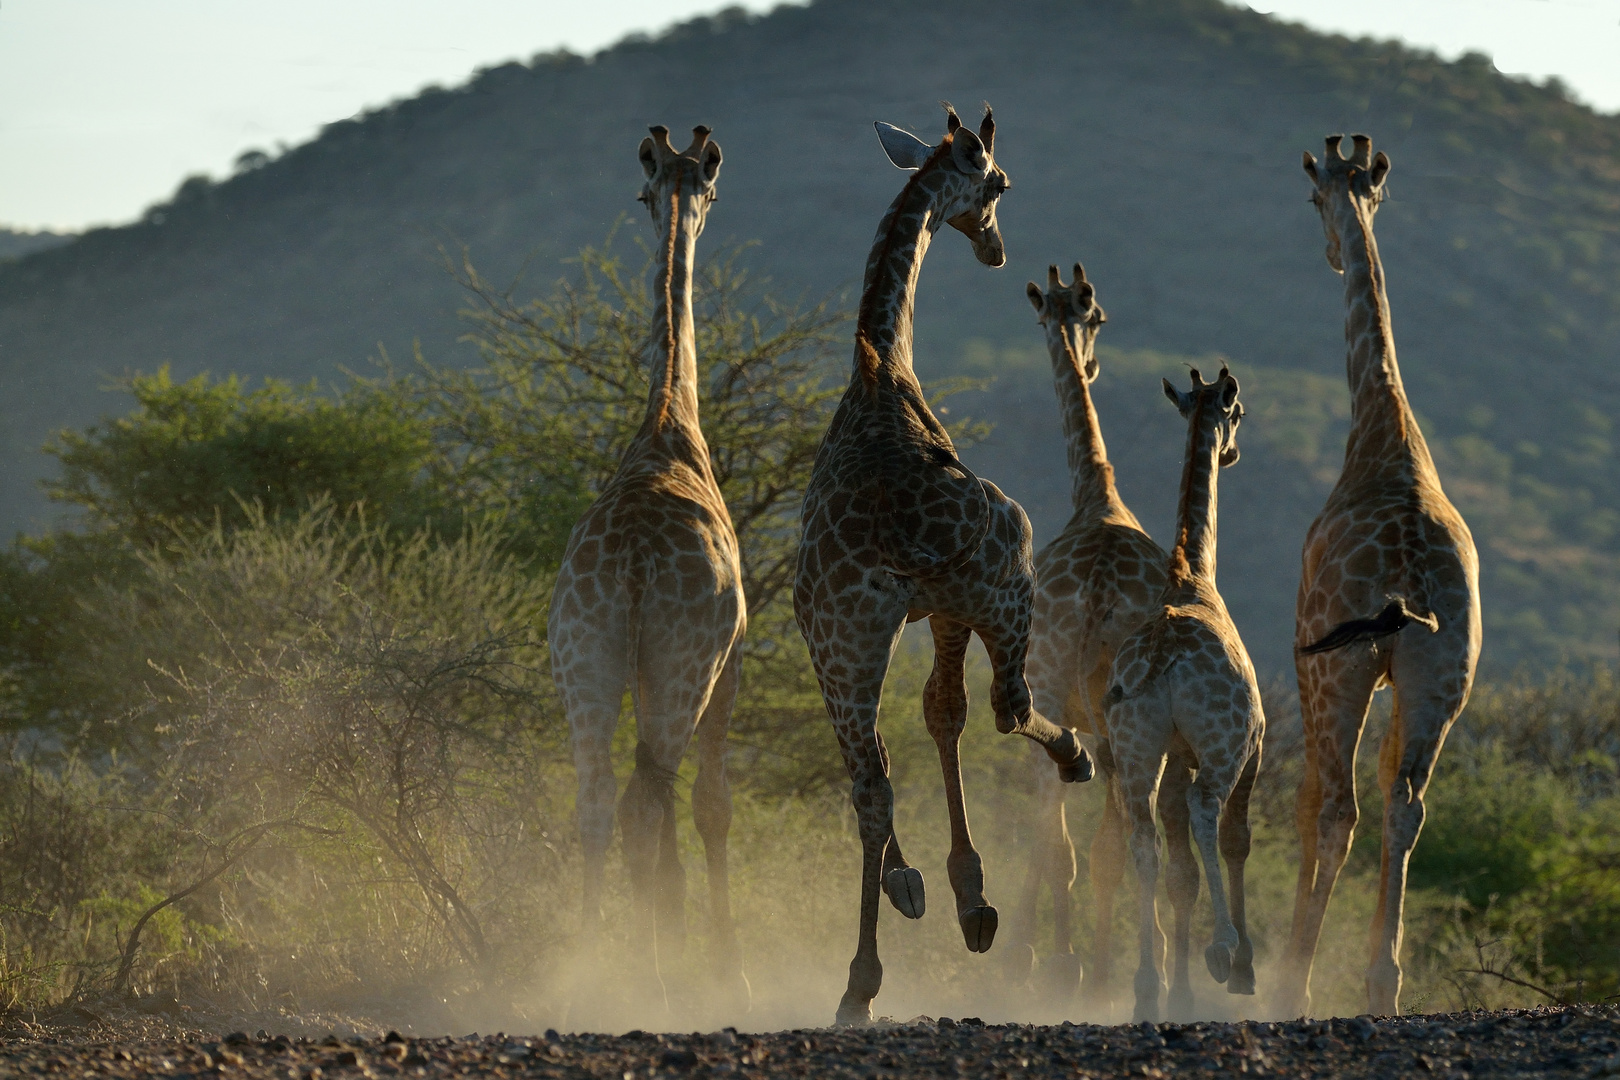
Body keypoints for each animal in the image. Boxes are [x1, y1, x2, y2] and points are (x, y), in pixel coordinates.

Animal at [793, 107, 1095, 1029]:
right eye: (997, 182)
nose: (994, 246)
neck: (883, 366)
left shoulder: (873, 624)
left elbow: (920, 730)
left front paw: (923, 884)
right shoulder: (960, 601)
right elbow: (953, 714)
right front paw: (970, 895)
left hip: (840, 637)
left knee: (868, 781)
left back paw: (861, 973)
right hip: (999, 589)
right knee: (1006, 708)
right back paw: (1073, 758)